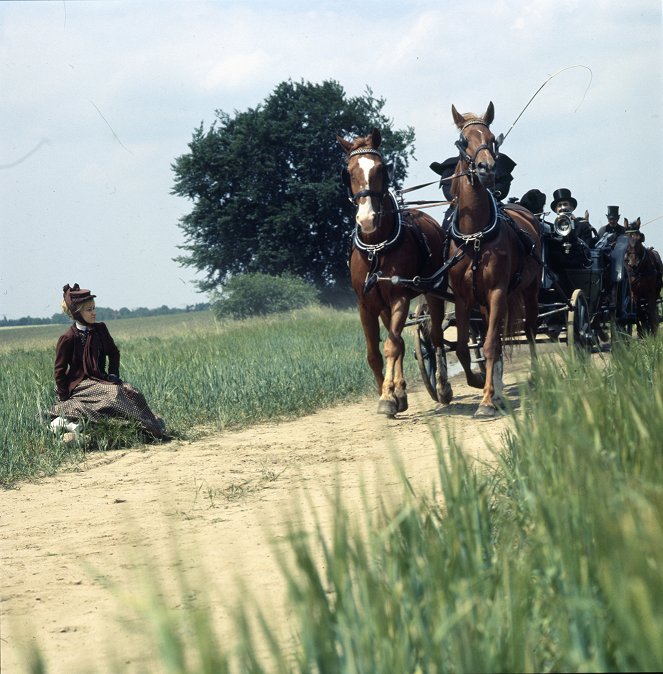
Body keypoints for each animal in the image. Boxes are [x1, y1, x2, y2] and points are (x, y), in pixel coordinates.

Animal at [338, 128, 452, 412]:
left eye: (381, 168)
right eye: (349, 172)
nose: (366, 219)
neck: (375, 248)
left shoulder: (400, 296)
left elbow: (392, 345)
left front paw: (387, 398)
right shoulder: (365, 304)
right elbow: (375, 353)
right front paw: (389, 392)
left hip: (434, 293)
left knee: (435, 337)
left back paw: (443, 387)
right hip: (384, 307)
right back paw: (400, 392)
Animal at [444, 101, 544, 414]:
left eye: (491, 139)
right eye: (463, 140)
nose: (486, 168)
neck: (475, 237)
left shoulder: (498, 291)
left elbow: (488, 345)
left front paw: (487, 400)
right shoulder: (464, 298)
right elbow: (464, 346)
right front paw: (479, 383)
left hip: (529, 290)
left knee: (530, 329)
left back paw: (534, 377)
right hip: (486, 304)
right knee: (497, 338)